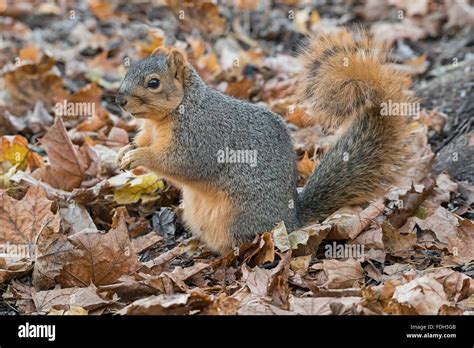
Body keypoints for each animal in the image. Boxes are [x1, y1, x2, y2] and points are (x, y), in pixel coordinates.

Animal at [115, 28, 414, 254]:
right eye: (128, 72)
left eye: (153, 83)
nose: (119, 100)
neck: (164, 119)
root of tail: (291, 219)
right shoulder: (150, 132)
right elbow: (142, 142)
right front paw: (125, 151)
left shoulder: (200, 137)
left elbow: (180, 163)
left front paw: (138, 157)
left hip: (240, 214)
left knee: (239, 243)